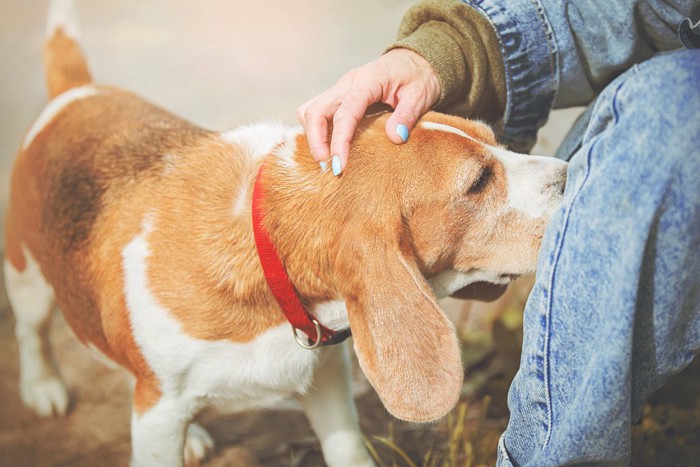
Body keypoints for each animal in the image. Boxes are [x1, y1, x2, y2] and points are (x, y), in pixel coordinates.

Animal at [2, 1, 568, 466]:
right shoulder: (160, 414)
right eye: (477, 181)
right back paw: (43, 386)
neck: (264, 249)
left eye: (495, 140)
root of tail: (75, 92)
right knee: (33, 334)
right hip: (27, 280)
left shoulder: (327, 380)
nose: (573, 174)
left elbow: (347, 451)